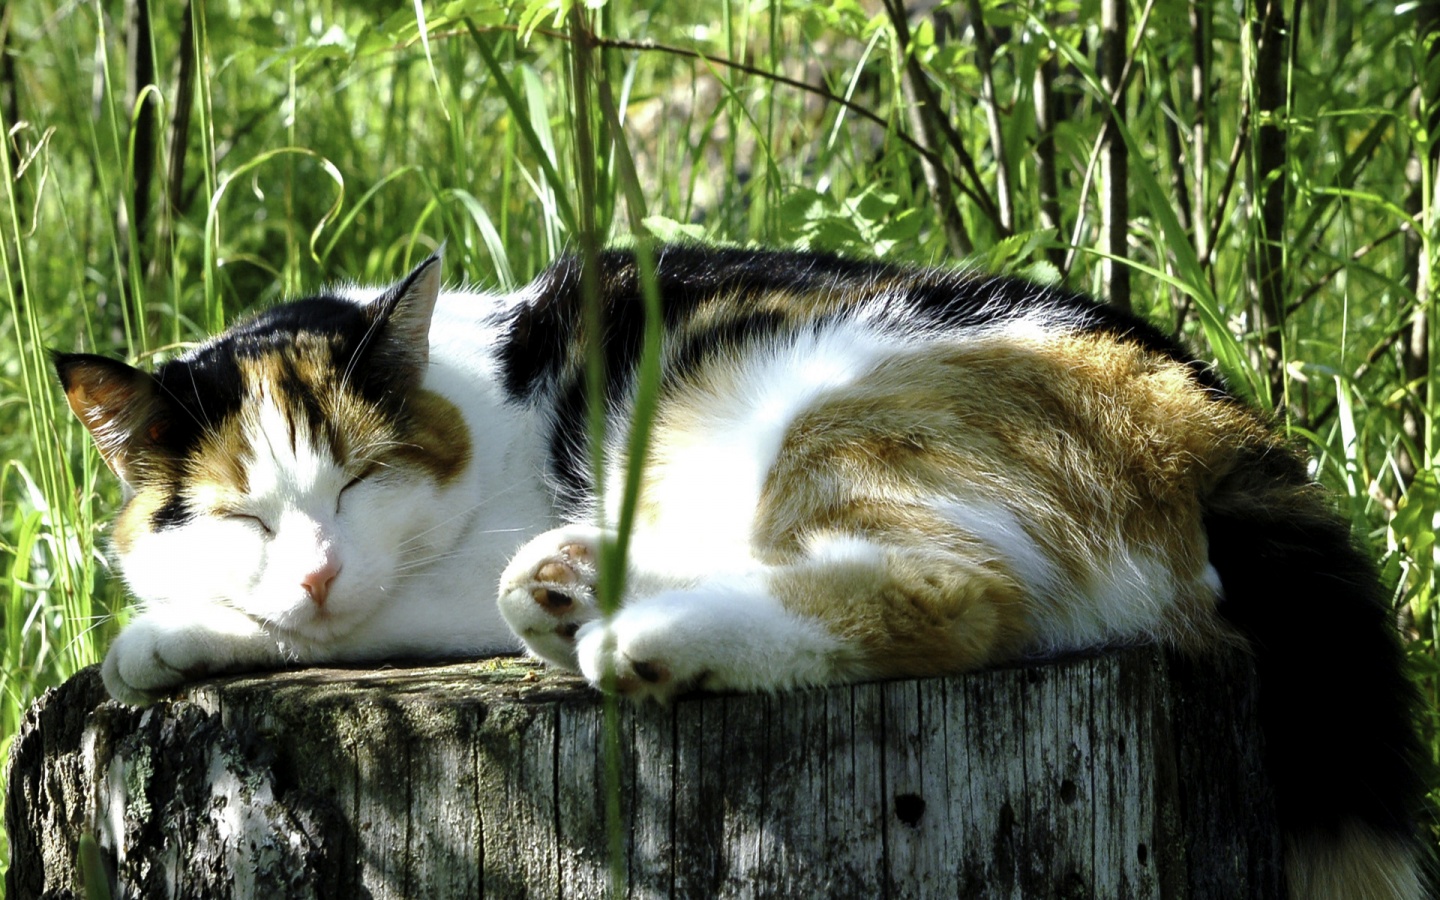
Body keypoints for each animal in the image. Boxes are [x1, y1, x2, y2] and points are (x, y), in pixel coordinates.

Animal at [59, 241, 1428, 892]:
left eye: (356, 483)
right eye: (240, 515)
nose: (313, 571)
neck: (476, 394)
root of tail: (1230, 431)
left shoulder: (448, 560)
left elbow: (360, 616)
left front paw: (167, 639)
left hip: (836, 410)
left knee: (957, 594)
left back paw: (638, 636)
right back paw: (575, 597)